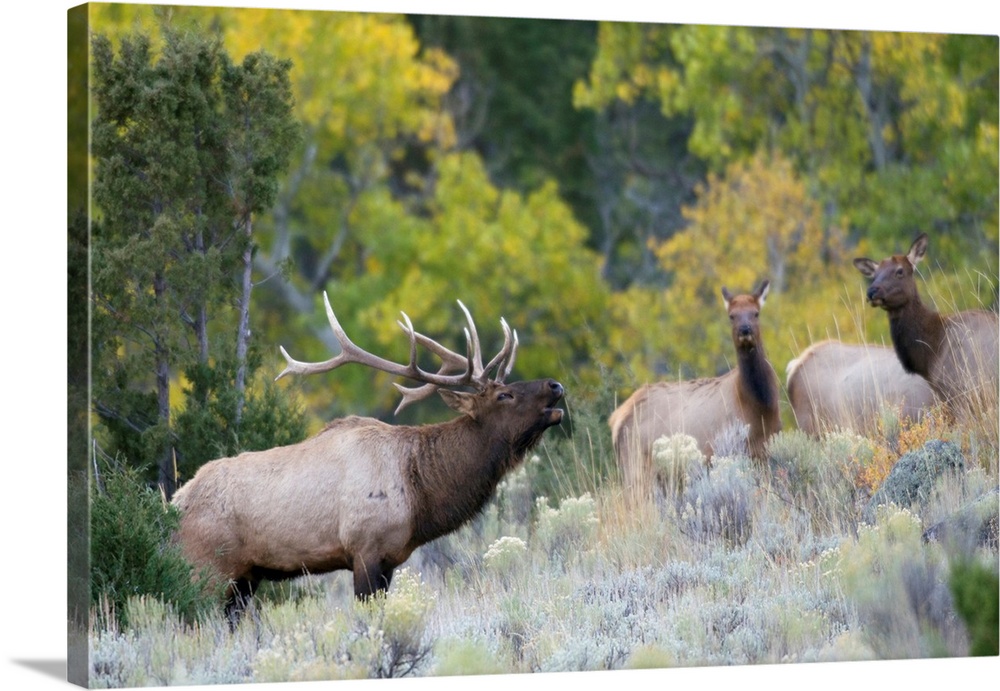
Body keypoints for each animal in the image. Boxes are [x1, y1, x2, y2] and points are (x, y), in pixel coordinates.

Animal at [171, 292, 564, 628]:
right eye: (504, 395)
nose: (556, 385)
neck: (420, 495)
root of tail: (175, 501)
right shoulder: (364, 547)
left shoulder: (390, 559)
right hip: (206, 567)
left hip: (245, 578)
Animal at [608, 278, 780, 500]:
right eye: (731, 316)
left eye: (756, 312)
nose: (745, 330)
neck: (760, 407)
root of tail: (617, 418)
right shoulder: (727, 450)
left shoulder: (765, 451)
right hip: (635, 466)